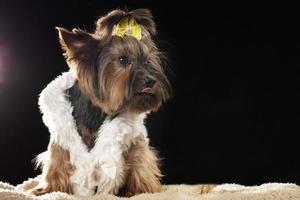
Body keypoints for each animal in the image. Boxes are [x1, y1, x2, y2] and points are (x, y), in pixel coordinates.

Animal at [31, 8, 171, 197]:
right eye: (122, 60)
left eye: (148, 60)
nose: (151, 80)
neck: (98, 111)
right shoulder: (61, 142)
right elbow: (58, 163)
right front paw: (49, 189)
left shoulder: (135, 141)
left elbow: (139, 163)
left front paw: (142, 190)